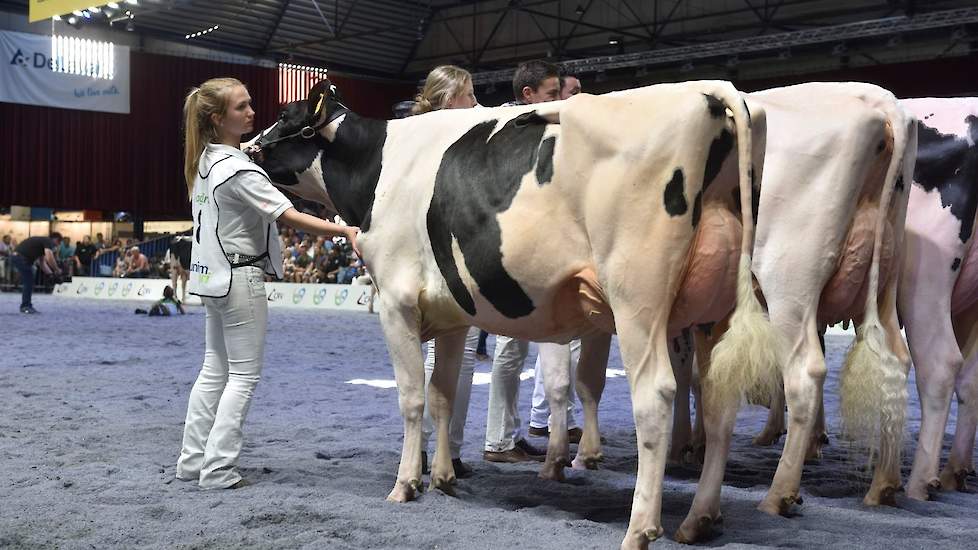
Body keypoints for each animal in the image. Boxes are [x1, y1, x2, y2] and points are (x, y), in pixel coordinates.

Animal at [254, 78, 772, 550]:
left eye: (286, 117)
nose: (247, 144)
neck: (380, 166)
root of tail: (709, 90)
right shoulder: (451, 315)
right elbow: (443, 395)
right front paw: (442, 477)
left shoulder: (397, 302)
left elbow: (412, 399)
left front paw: (406, 483)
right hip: (715, 311)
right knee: (719, 400)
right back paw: (700, 518)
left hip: (637, 298)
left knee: (657, 396)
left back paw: (640, 527)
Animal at [664, 82, 916, 544]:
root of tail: (879, 102)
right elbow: (697, 375)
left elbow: (681, 372)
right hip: (885, 280)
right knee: (896, 361)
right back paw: (883, 485)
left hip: (789, 282)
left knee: (805, 371)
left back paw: (779, 493)